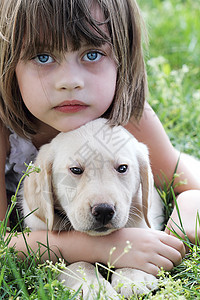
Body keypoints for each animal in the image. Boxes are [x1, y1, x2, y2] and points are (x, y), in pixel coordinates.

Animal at [22, 118, 163, 298]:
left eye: (122, 168)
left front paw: (132, 275)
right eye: (76, 170)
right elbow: (79, 262)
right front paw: (94, 287)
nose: (103, 211)